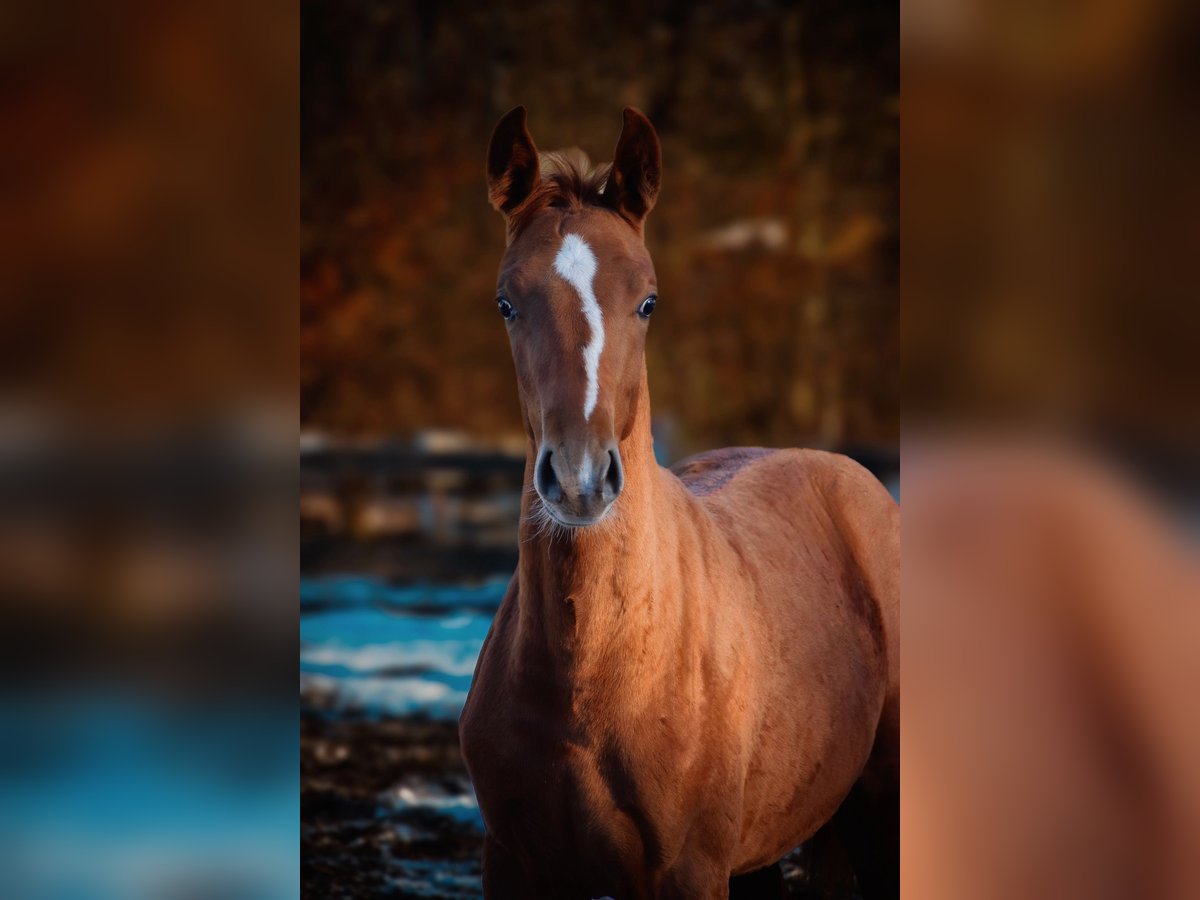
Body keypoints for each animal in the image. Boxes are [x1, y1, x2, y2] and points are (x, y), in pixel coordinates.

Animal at [458, 107, 902, 900]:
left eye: (648, 300)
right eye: (506, 302)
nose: (579, 479)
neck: (593, 679)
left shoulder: (689, 871)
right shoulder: (512, 865)